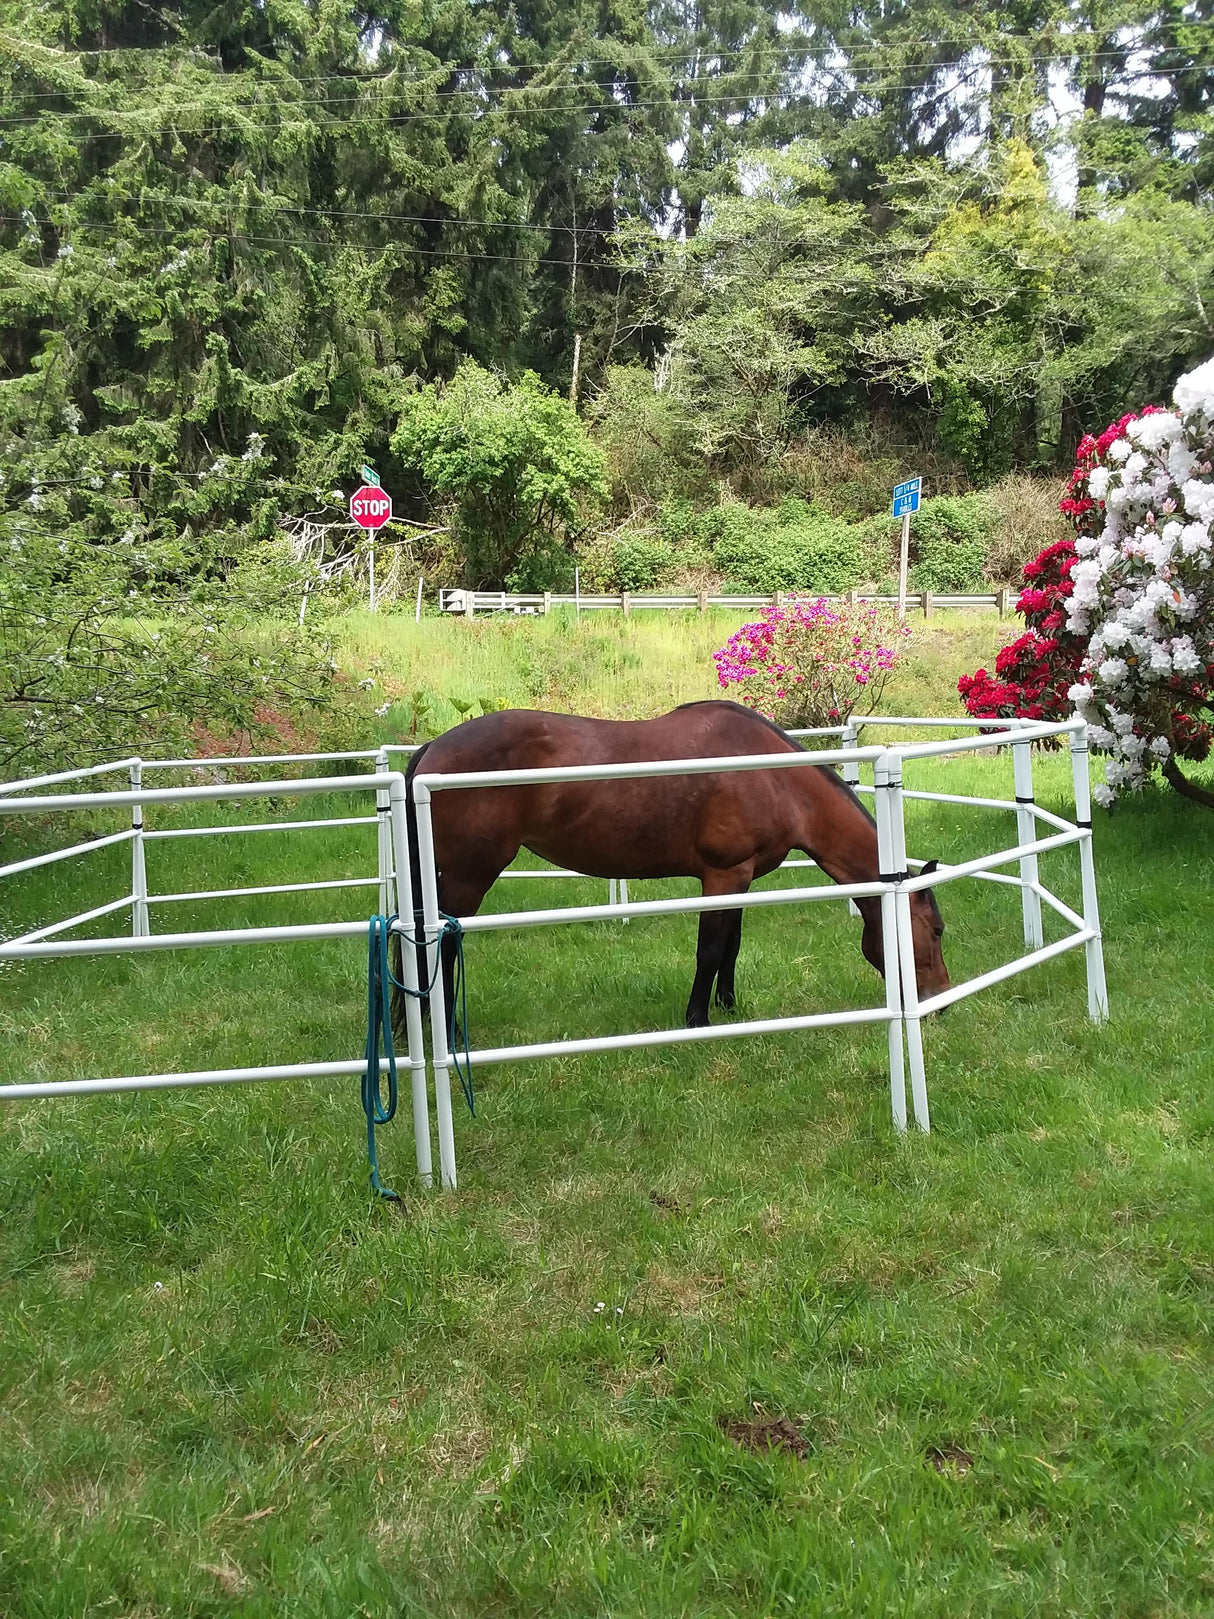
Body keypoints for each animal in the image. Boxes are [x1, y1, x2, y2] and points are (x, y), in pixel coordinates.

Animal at [397, 700, 948, 1032]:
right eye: (937, 930)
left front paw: (729, 1007)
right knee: (439, 942)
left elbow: (731, 946)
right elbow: (710, 950)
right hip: (467, 879)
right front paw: (698, 1020)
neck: (774, 779)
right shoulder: (721, 877)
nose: (939, 1002)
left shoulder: (741, 879)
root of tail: (431, 749)